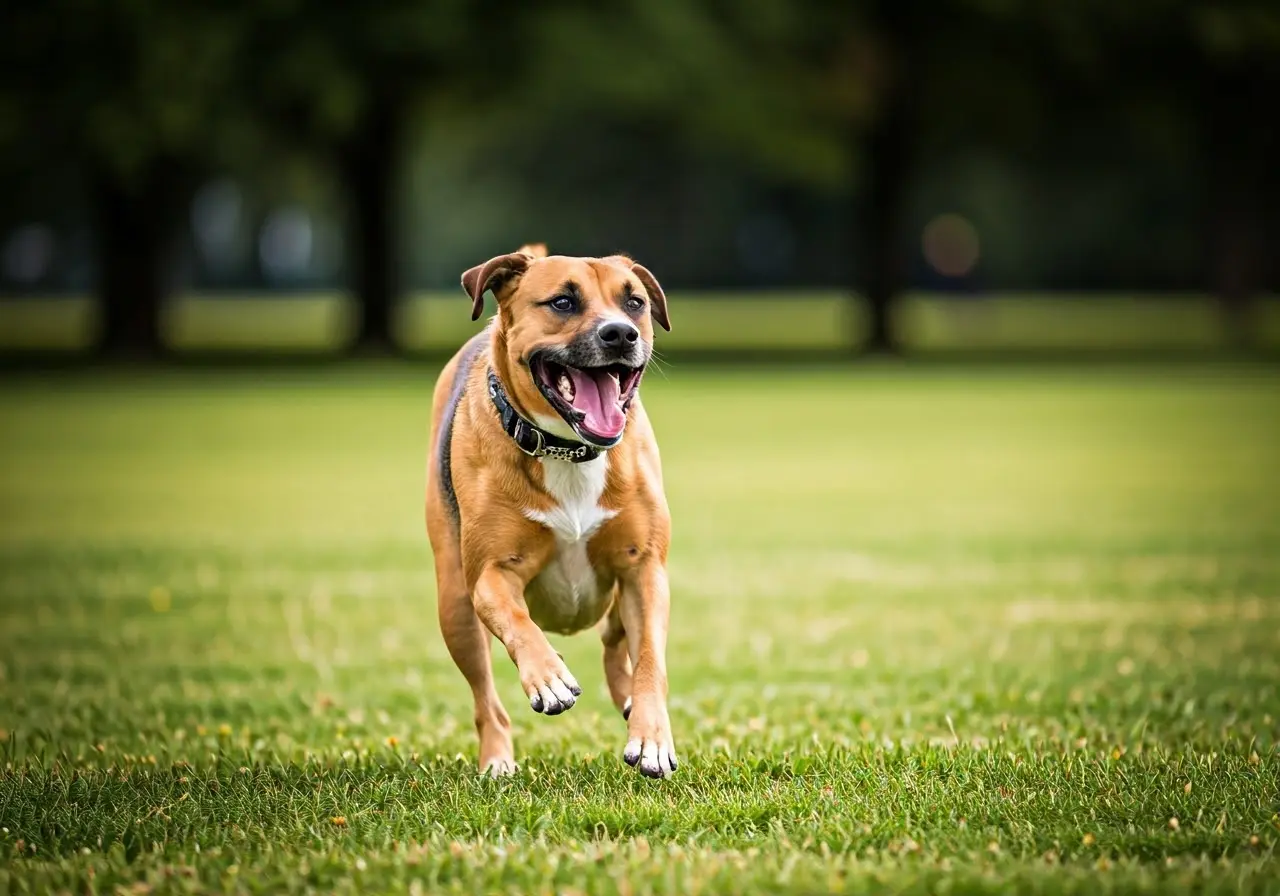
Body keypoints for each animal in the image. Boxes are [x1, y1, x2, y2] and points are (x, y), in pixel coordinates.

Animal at [422, 244, 680, 778]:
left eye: (635, 303)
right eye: (563, 302)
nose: (620, 333)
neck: (568, 449)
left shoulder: (644, 570)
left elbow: (650, 660)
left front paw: (651, 738)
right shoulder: (490, 574)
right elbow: (516, 621)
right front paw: (549, 677)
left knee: (615, 643)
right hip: (454, 605)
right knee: (486, 698)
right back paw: (497, 759)